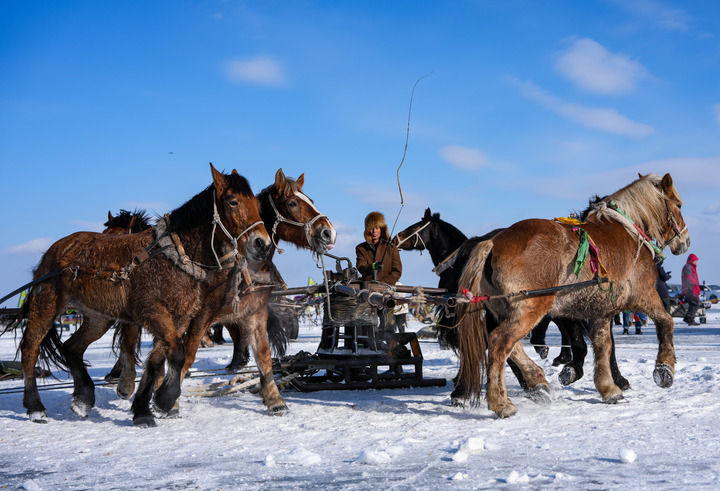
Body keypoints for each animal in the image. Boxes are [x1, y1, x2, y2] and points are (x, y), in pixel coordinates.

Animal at [16, 164, 273, 426]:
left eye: (256, 203)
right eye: (233, 202)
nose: (262, 243)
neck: (175, 257)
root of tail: (55, 250)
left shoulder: (178, 319)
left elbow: (157, 362)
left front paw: (143, 409)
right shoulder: (153, 312)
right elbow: (176, 354)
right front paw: (165, 399)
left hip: (99, 317)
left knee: (72, 347)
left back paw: (83, 398)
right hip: (46, 304)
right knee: (30, 349)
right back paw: (36, 407)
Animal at [456, 173, 688, 417]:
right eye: (679, 205)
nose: (685, 241)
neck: (629, 231)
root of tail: (493, 242)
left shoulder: (601, 310)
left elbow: (602, 345)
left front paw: (608, 387)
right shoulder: (643, 293)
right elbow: (666, 321)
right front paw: (664, 369)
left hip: (504, 309)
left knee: (507, 345)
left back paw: (537, 381)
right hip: (531, 307)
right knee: (499, 342)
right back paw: (501, 403)